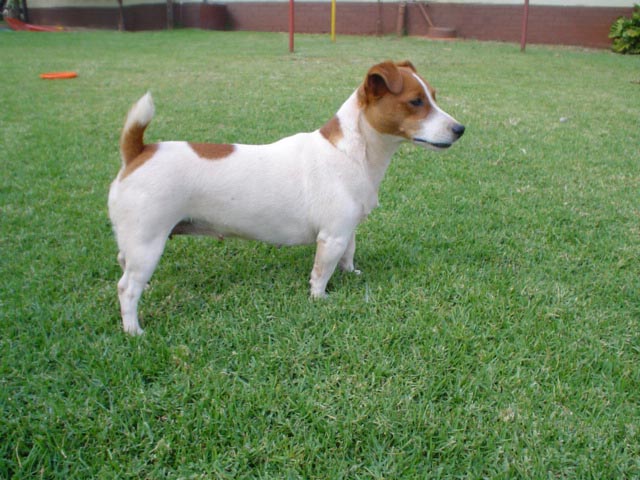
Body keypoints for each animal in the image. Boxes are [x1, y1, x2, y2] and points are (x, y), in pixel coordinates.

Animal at [108, 60, 464, 335]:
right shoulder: (331, 237)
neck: (354, 152)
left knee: (125, 266)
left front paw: (351, 274)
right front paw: (320, 299)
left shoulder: (346, 230)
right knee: (126, 288)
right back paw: (134, 330)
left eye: (433, 97)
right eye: (416, 102)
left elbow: (349, 252)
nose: (460, 129)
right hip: (149, 241)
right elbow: (321, 273)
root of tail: (138, 152)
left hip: (136, 242)